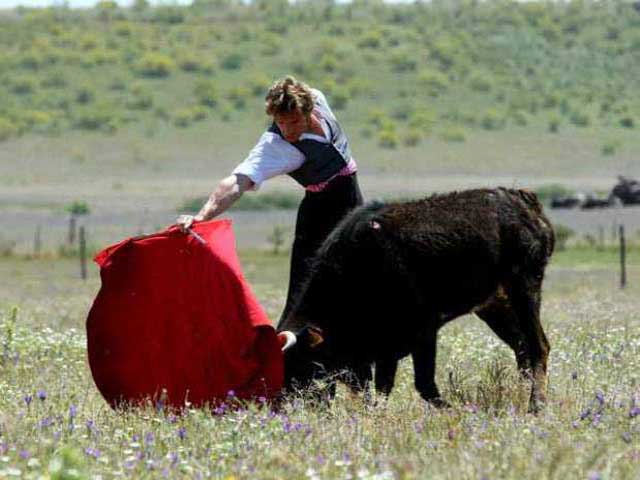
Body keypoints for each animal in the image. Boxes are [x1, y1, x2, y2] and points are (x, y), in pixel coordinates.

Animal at [278, 188, 556, 412]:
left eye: (302, 364)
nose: (284, 408)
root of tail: (524, 200)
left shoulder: (423, 331)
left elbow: (423, 385)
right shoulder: (385, 348)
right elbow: (383, 389)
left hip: (525, 289)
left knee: (538, 346)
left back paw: (536, 405)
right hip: (494, 305)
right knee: (520, 348)